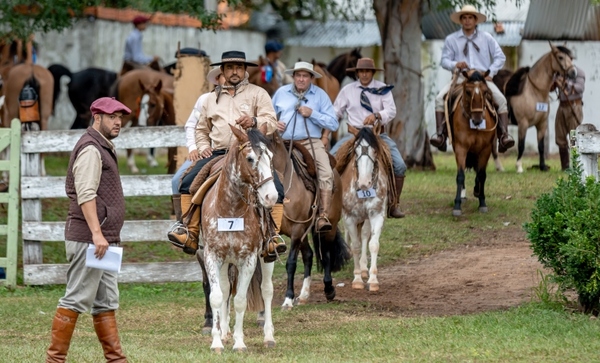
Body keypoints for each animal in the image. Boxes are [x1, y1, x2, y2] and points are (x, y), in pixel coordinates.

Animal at [199, 126, 278, 354]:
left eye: (271, 157)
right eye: (250, 158)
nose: (271, 197)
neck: (230, 209)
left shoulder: (249, 259)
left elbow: (240, 300)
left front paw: (239, 342)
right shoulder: (212, 256)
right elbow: (217, 296)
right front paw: (217, 341)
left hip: (266, 257)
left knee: (267, 290)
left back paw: (268, 336)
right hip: (226, 261)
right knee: (226, 290)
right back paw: (225, 332)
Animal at [336, 125, 392, 292]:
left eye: (375, 151)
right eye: (356, 151)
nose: (364, 183)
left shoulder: (376, 215)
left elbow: (373, 244)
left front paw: (373, 280)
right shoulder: (350, 217)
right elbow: (355, 245)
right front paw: (357, 280)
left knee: (365, 235)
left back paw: (364, 268)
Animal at [450, 70, 496, 216]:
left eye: (485, 91)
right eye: (468, 92)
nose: (477, 120)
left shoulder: (486, 149)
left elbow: (481, 175)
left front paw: (482, 202)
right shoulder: (461, 148)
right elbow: (460, 175)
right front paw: (457, 205)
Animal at [492, 42, 576, 173]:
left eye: (571, 58)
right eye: (560, 57)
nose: (573, 72)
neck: (534, 91)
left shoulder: (542, 124)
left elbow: (541, 146)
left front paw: (542, 166)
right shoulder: (523, 124)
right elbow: (521, 145)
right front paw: (519, 167)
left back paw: (499, 167)